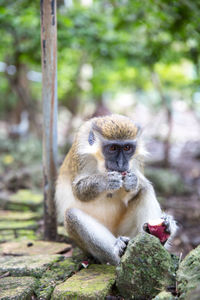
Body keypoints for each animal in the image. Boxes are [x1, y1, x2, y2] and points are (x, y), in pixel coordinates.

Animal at [55, 114, 177, 264]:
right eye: (113, 148)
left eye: (127, 148)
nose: (121, 163)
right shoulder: (80, 154)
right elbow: (78, 191)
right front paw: (106, 181)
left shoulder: (136, 160)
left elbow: (139, 186)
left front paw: (133, 182)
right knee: (71, 216)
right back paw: (118, 250)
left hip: (128, 232)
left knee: (146, 190)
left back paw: (157, 238)